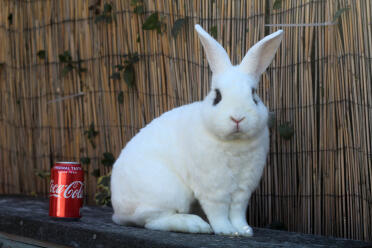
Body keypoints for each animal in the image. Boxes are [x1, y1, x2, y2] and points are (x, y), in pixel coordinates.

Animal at [110, 24, 282, 236]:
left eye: (254, 94)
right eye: (217, 96)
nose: (237, 118)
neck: (234, 143)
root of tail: (118, 211)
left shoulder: (243, 188)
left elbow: (237, 211)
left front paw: (243, 231)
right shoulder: (213, 188)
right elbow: (218, 210)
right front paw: (225, 230)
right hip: (168, 192)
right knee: (153, 221)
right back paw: (195, 225)